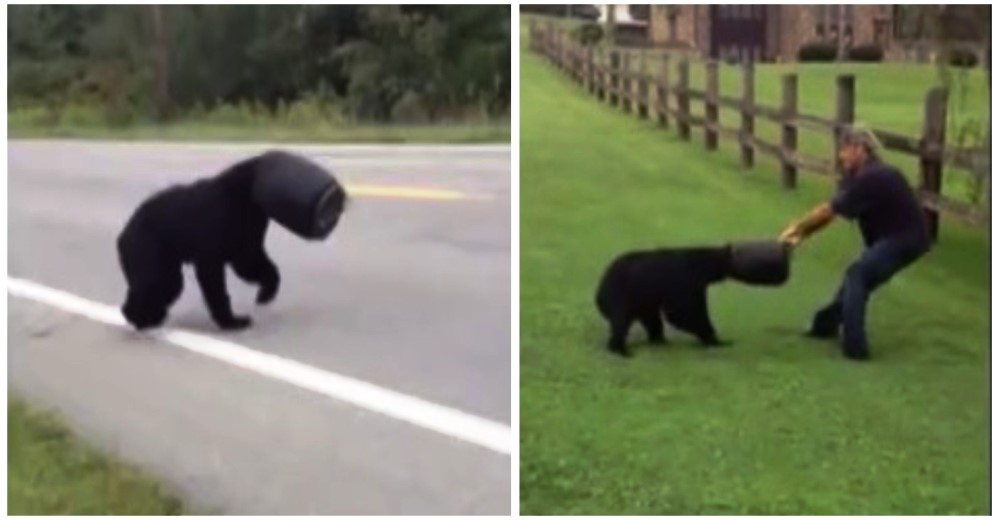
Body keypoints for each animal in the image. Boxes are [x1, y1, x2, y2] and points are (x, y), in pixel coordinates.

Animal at [117, 150, 348, 332]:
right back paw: (139, 318)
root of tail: (123, 234)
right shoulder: (216, 227)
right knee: (159, 283)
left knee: (164, 285)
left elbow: (249, 261)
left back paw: (147, 317)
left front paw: (265, 294)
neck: (246, 199)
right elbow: (213, 274)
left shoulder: (246, 233)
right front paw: (234, 321)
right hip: (148, 248)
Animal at [592, 246, 736, 356]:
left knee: (651, 319)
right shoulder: (684, 281)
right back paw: (621, 350)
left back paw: (658, 340)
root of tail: (599, 291)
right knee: (621, 322)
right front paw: (715, 340)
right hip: (620, 296)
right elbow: (686, 313)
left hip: (640, 300)